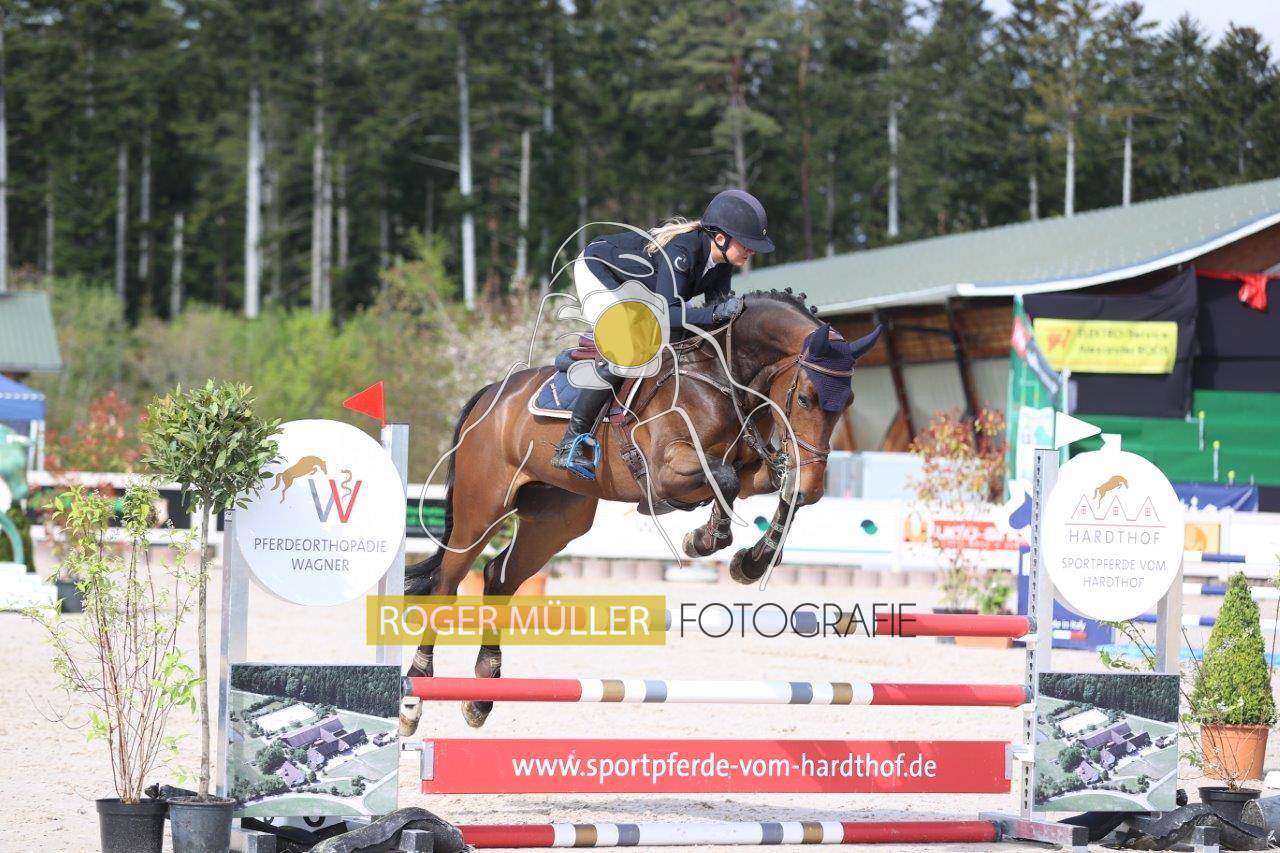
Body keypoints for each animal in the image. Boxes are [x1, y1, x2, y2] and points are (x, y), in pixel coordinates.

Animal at [401, 290, 882, 730]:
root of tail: (491, 396)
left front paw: (750, 560)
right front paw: (705, 540)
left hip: (556, 521)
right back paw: (415, 695)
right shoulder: (667, 469)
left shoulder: (755, 469)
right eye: (805, 398)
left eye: (849, 402)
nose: (816, 483)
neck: (724, 377)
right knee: (446, 585)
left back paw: (482, 693)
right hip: (481, 511)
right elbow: (724, 480)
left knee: (499, 578)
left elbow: (776, 489)